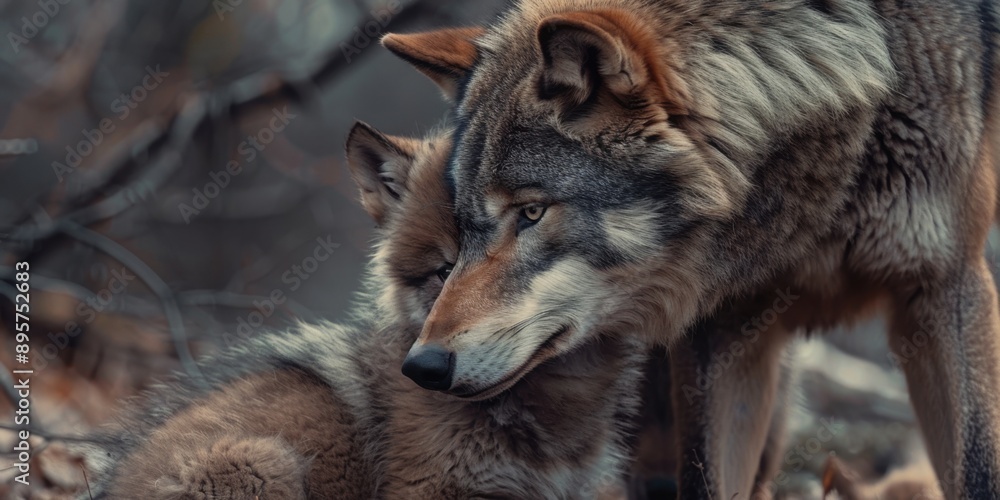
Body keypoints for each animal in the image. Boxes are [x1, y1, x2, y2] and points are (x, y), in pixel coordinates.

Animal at [381, 0, 1000, 497]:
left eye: (531, 212)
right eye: (466, 226)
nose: (423, 364)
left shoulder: (945, 288)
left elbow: (977, 469)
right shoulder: (723, 329)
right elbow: (705, 478)